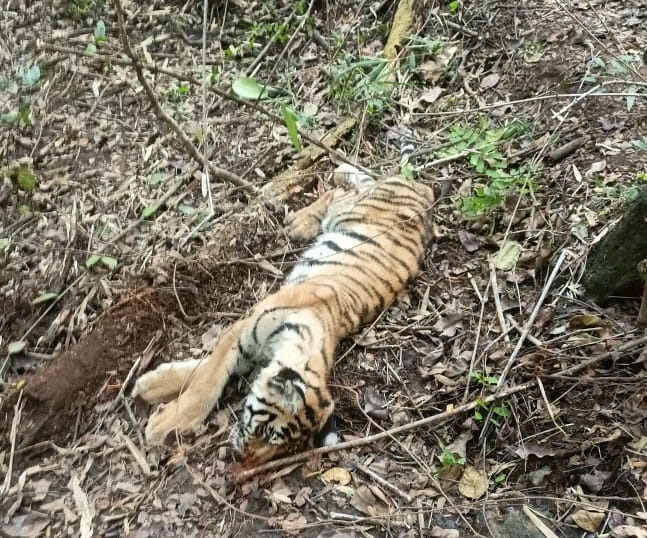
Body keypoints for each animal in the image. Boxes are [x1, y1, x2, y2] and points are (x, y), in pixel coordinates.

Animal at [132, 167, 434, 464]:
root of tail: (424, 190)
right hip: (349, 209)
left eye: (279, 449)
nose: (243, 458)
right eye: (266, 431)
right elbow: (206, 379)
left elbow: (204, 369)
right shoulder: (243, 330)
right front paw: (163, 418)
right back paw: (301, 220)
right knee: (341, 189)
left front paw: (151, 387)